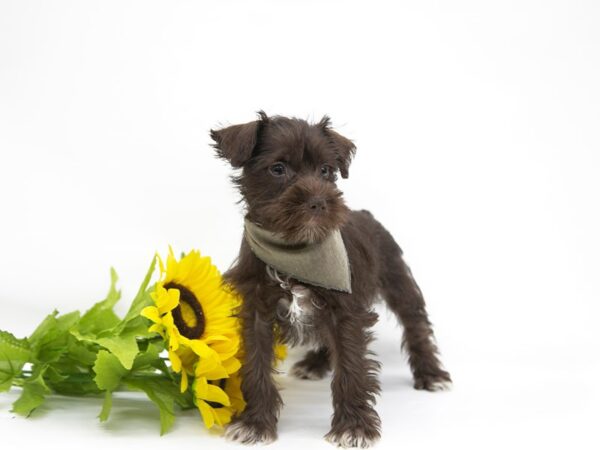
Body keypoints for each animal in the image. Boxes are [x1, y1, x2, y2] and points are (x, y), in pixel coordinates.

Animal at [211, 112, 450, 446]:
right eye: (278, 169)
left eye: (326, 170)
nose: (318, 202)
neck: (295, 252)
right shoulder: (257, 311)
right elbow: (256, 366)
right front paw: (254, 423)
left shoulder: (346, 311)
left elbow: (350, 367)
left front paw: (354, 427)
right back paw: (315, 364)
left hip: (397, 280)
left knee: (415, 324)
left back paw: (431, 374)